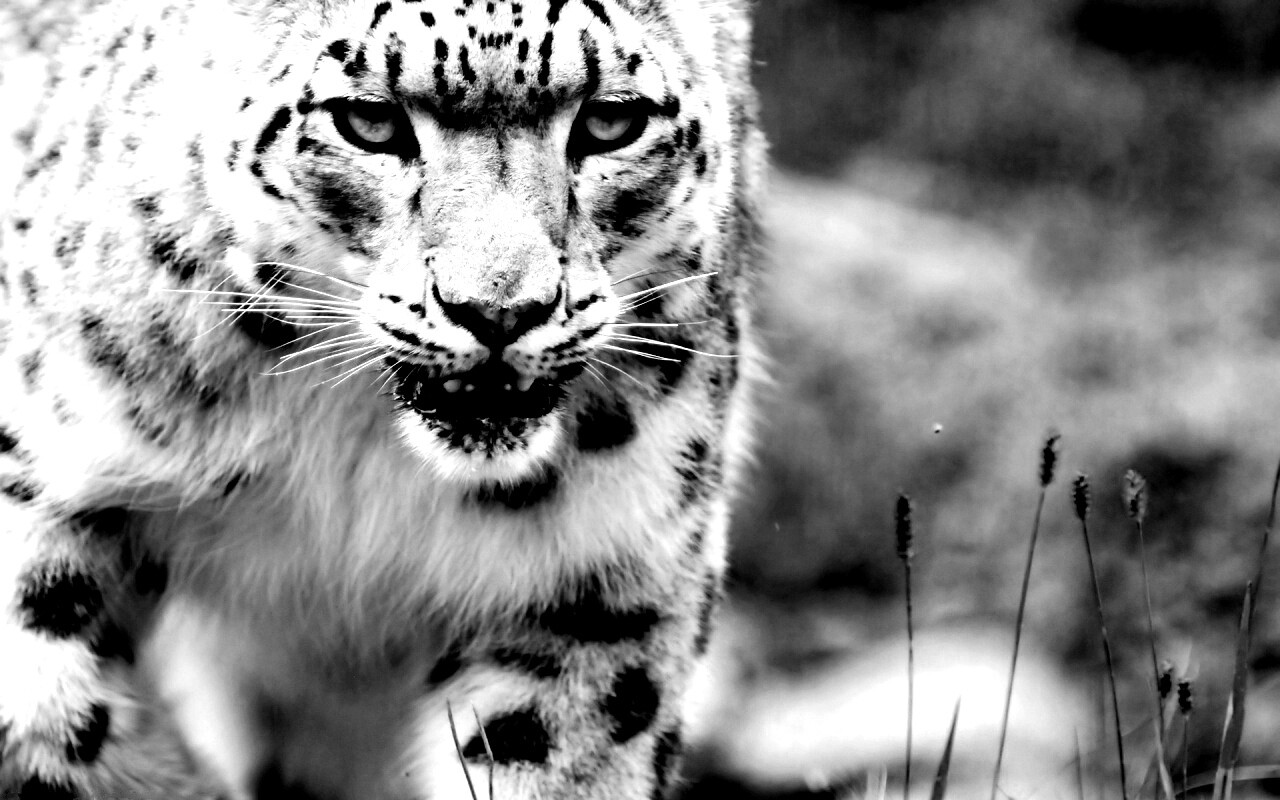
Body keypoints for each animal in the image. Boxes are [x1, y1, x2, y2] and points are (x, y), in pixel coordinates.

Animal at [0, 0, 764, 797]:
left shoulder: (598, 583)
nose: (498, 310)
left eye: (611, 120)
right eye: (370, 122)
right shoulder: (46, 468)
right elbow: (55, 710)